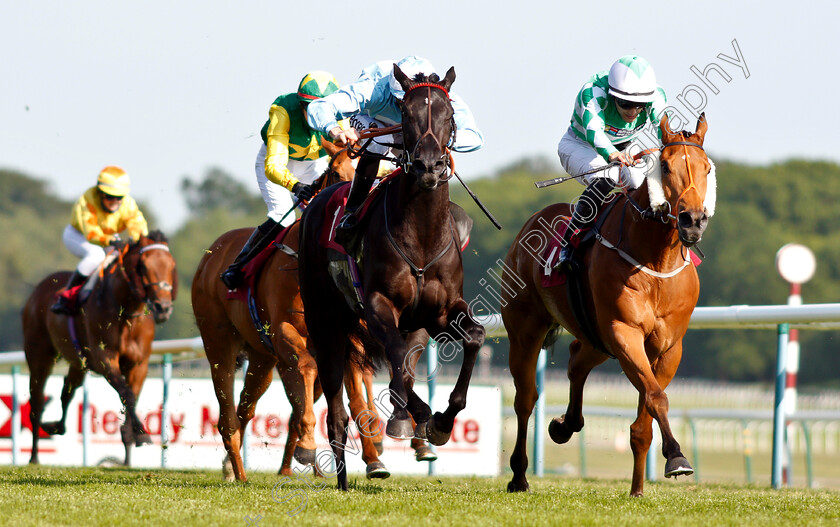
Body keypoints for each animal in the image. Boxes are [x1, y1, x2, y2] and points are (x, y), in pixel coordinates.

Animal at [22, 232, 177, 466]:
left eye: (171, 265)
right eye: (143, 266)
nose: (163, 308)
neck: (126, 312)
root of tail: (38, 289)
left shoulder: (139, 364)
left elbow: (131, 396)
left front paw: (131, 437)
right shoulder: (105, 359)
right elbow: (127, 393)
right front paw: (142, 433)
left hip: (78, 362)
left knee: (67, 391)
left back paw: (56, 426)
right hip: (39, 355)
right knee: (37, 402)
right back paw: (34, 456)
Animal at [192, 139, 398, 482]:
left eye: (379, 174)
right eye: (336, 172)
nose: (349, 217)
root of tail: (211, 255)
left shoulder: (347, 341)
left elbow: (358, 402)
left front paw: (374, 459)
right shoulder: (287, 334)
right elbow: (306, 375)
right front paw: (306, 445)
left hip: (261, 359)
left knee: (245, 408)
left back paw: (233, 468)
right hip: (219, 345)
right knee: (228, 417)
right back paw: (239, 473)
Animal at [300, 65, 486, 490]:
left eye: (449, 113)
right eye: (406, 114)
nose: (429, 166)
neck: (421, 236)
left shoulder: (441, 312)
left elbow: (473, 338)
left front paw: (442, 421)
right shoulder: (378, 305)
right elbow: (397, 359)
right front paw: (403, 419)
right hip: (325, 323)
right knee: (337, 412)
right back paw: (343, 478)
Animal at [502, 113, 712, 498]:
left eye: (706, 168)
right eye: (665, 165)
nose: (692, 220)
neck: (655, 261)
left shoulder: (667, 347)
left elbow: (645, 416)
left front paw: (638, 489)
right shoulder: (624, 332)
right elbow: (656, 396)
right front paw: (676, 456)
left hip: (596, 338)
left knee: (575, 361)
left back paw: (565, 425)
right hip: (527, 330)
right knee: (525, 399)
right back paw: (519, 476)